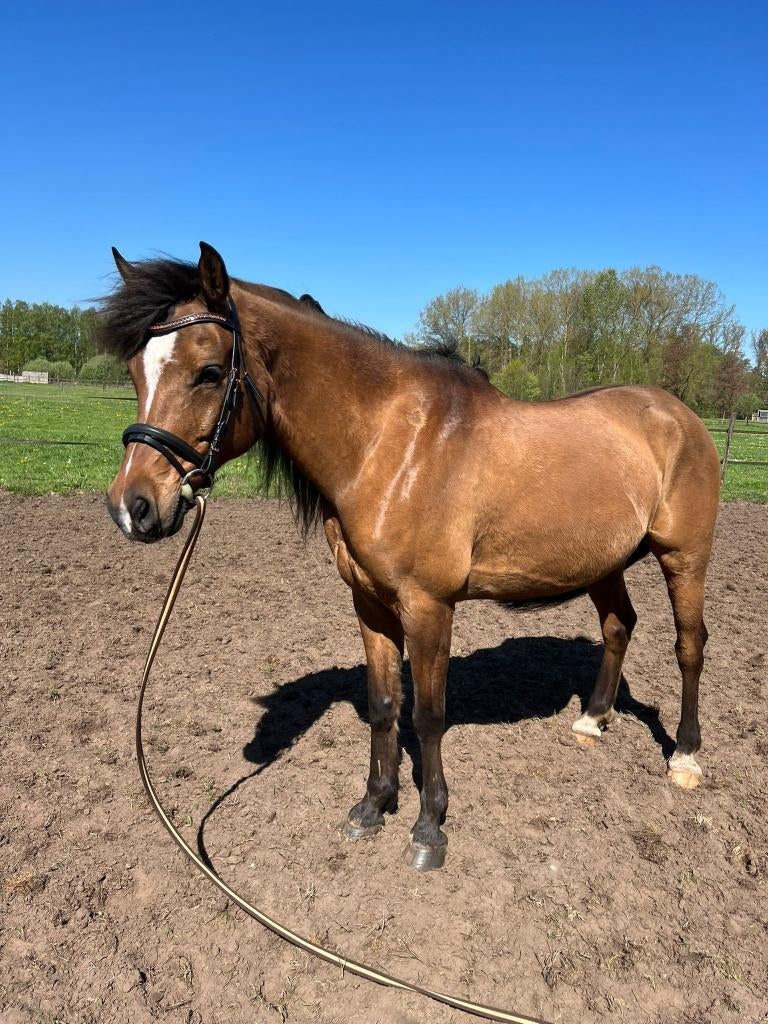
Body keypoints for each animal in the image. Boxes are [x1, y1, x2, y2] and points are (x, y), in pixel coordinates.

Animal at [103, 242, 721, 871]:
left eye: (208, 373)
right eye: (134, 371)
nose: (133, 507)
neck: (390, 447)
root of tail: (677, 414)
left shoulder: (428, 607)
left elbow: (428, 715)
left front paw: (429, 827)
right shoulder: (371, 604)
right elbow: (384, 705)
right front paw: (372, 807)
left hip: (684, 557)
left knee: (689, 645)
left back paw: (685, 756)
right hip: (604, 562)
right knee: (619, 625)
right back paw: (593, 721)